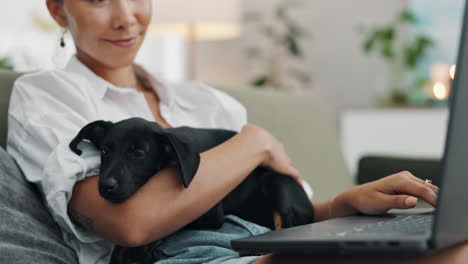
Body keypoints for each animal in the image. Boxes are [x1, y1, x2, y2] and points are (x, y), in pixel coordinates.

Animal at [69, 119, 314, 260]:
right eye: (104, 151)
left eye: (138, 153)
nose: (106, 187)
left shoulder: (210, 214)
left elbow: (174, 224)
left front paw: (144, 249)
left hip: (280, 185)